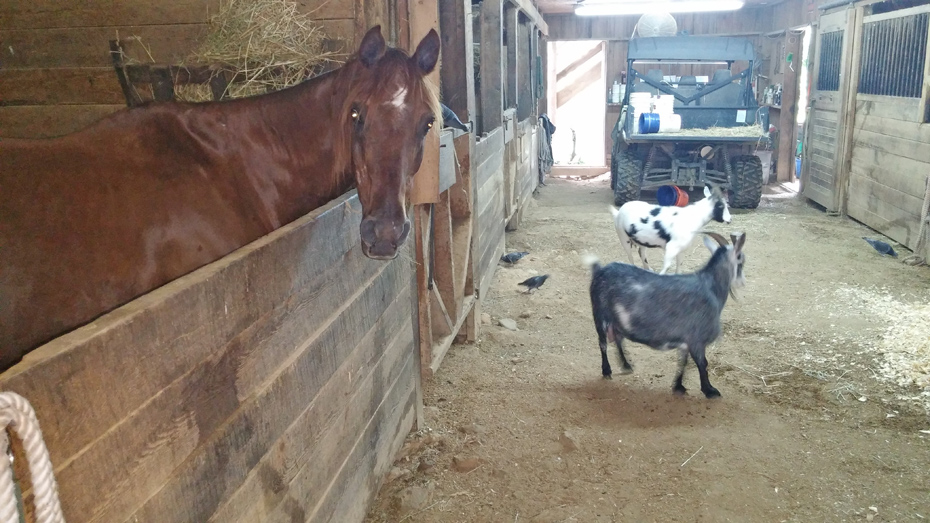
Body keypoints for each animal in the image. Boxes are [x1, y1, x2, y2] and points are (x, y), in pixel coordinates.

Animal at [588, 231, 748, 400]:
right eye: (741, 260)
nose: (742, 282)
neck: (711, 287)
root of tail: (599, 270)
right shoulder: (696, 339)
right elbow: (702, 363)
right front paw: (709, 390)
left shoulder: (686, 340)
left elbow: (683, 362)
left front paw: (678, 386)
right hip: (599, 314)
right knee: (603, 343)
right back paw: (606, 370)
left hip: (618, 321)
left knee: (618, 339)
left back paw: (626, 365)